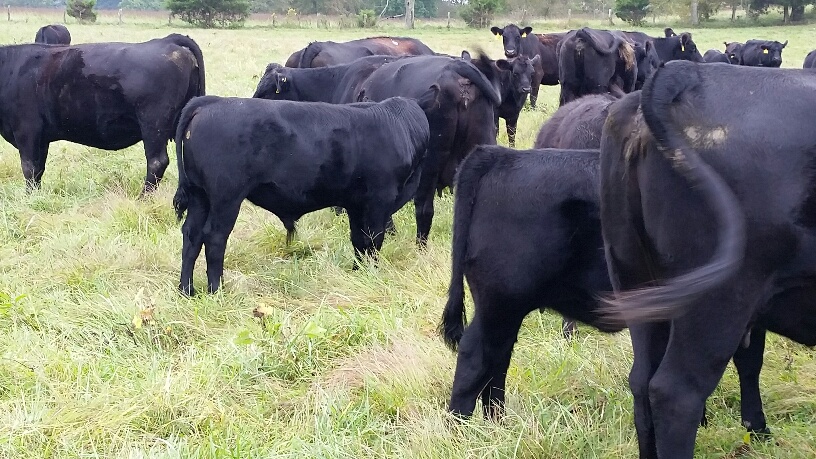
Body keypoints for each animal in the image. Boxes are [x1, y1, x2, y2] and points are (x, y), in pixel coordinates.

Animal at [0, 35, 206, 193]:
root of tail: (167, 40)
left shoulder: (27, 130)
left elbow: (30, 168)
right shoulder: (41, 137)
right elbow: (39, 169)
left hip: (153, 123)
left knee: (157, 162)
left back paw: (143, 198)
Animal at [171, 95, 428, 294]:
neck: (399, 127)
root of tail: (211, 101)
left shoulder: (356, 204)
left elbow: (359, 240)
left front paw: (358, 273)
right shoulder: (379, 200)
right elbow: (374, 240)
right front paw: (371, 274)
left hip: (200, 195)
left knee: (192, 235)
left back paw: (187, 290)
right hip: (226, 197)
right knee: (214, 238)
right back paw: (217, 290)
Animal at [600, 60, 816, 456]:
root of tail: (684, 70)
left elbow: (750, 358)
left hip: (635, 278)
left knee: (641, 382)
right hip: (721, 297)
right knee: (675, 393)